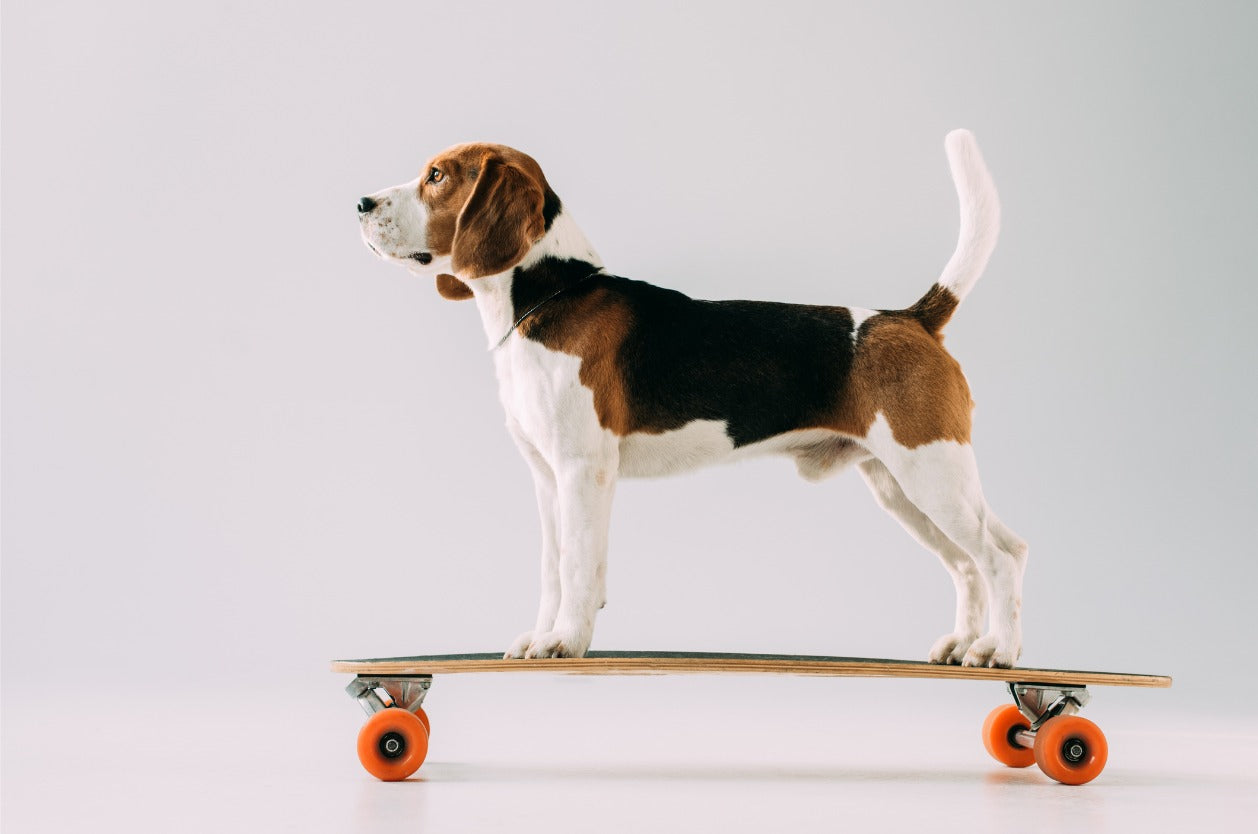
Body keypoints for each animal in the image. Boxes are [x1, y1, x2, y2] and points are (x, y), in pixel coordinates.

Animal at [359, 130, 1026, 674]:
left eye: (437, 176)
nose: (360, 204)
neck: (547, 296)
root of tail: (909, 317)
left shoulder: (582, 472)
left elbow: (577, 568)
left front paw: (567, 642)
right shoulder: (547, 478)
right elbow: (553, 567)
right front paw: (542, 636)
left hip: (931, 473)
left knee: (1000, 557)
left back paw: (999, 650)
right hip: (903, 485)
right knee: (973, 562)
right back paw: (964, 644)